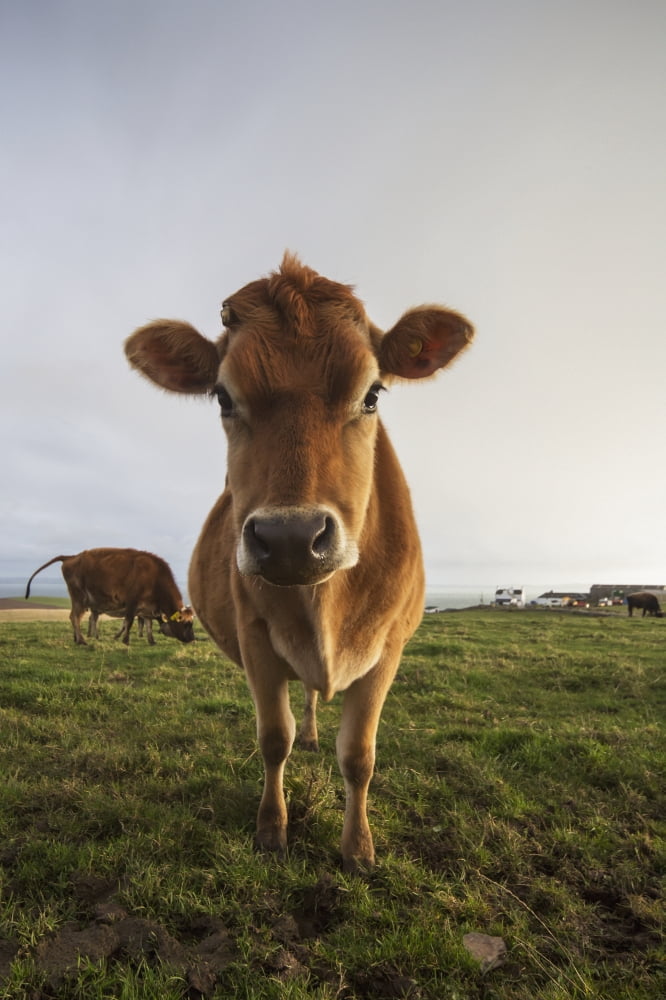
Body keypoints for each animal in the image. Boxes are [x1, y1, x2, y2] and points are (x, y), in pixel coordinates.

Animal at [25, 548, 195, 645]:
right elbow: (128, 622)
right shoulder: (132, 602)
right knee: (75, 617)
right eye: (186, 624)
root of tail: (72, 556)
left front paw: (152, 641)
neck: (155, 576)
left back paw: (77, 638)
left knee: (76, 617)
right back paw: (82, 640)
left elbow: (148, 625)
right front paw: (125, 641)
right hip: (79, 596)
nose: (192, 639)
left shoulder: (147, 608)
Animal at [124, 253, 473, 870]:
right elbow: (273, 739)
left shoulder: (390, 648)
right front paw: (271, 829)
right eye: (223, 397)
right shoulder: (255, 637)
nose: (290, 538)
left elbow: (359, 755)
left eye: (373, 393)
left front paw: (358, 849)